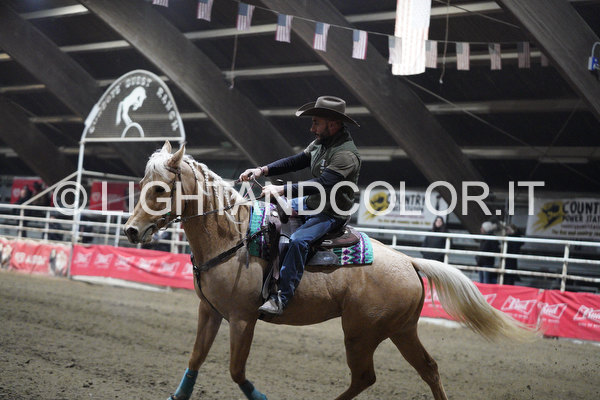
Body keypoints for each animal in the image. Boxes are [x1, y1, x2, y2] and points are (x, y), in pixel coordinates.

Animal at [124, 142, 536, 400]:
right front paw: (177, 395)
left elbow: (237, 372)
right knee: (428, 369)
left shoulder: (242, 319)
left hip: (361, 334)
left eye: (160, 189)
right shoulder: (209, 311)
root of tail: (408, 262)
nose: (130, 230)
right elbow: (195, 358)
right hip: (401, 330)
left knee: (366, 376)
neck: (233, 235)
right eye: (142, 183)